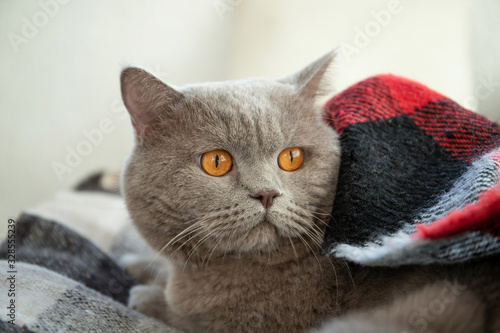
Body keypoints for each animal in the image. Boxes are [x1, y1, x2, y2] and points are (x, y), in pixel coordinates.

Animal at [120, 52, 500, 332]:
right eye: (216, 162)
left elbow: (189, 320)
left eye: (292, 157)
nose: (266, 193)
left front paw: (146, 296)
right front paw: (135, 264)